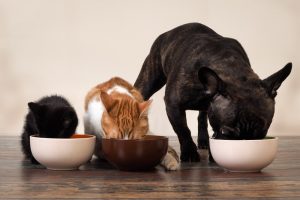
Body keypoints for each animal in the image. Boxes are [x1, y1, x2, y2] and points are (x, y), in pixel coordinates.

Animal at [135, 22, 292, 162]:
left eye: (263, 133)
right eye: (225, 132)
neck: (230, 71)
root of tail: (168, 33)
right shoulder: (173, 105)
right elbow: (183, 130)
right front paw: (189, 153)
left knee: (202, 117)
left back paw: (204, 140)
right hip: (149, 79)